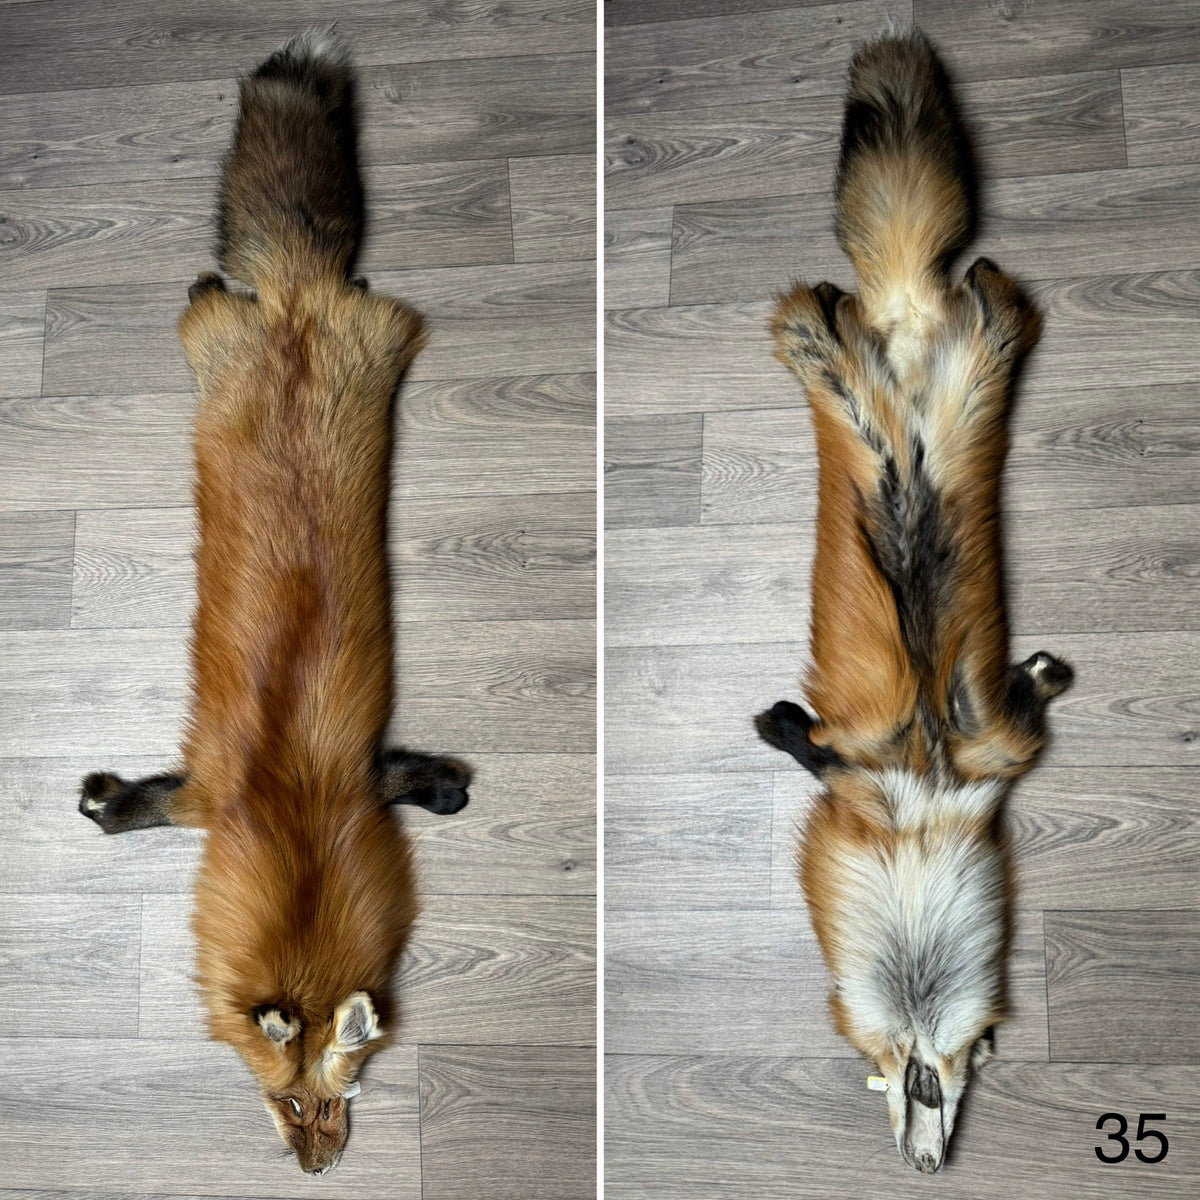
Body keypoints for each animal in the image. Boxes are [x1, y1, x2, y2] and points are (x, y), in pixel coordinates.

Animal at [77, 27, 471, 1175]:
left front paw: (447, 789)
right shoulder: (215, 793)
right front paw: (106, 801)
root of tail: (296, 300)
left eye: (338, 1096)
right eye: (288, 1102)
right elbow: (141, 810)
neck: (292, 817)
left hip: (337, 331)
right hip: (227, 335)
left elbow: (411, 776)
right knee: (218, 288)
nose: (318, 1169)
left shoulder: (345, 781)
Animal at [754, 30, 1072, 1173]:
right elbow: (799, 738)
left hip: (953, 377)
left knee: (964, 304)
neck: (920, 801)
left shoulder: (984, 750)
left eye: (932, 1082)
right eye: (892, 1081)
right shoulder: (933, 751)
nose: (925, 1164)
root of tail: (902, 314)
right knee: (855, 312)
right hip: (870, 378)